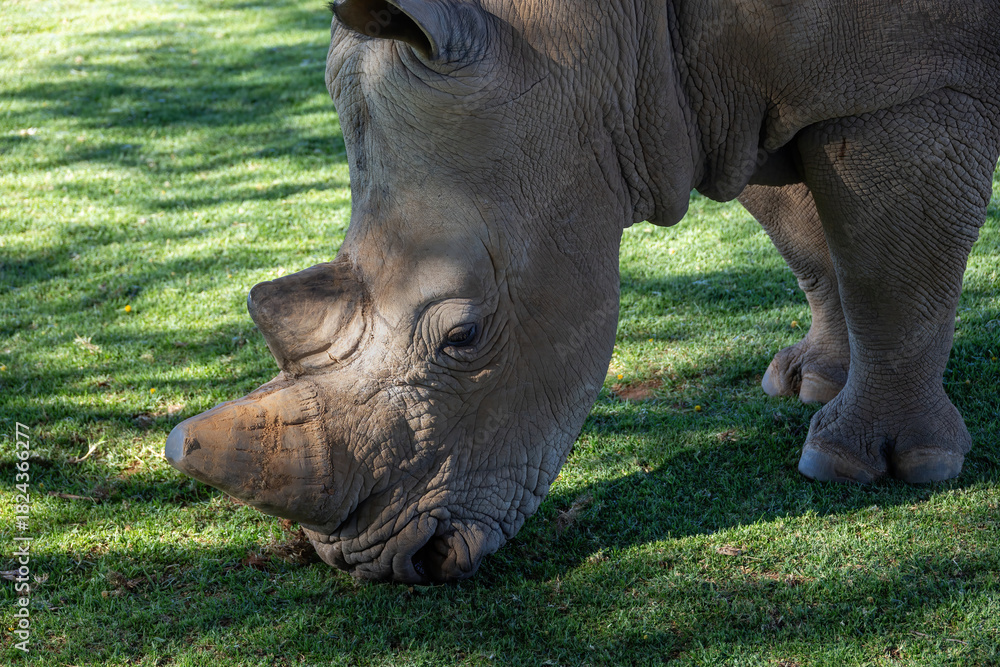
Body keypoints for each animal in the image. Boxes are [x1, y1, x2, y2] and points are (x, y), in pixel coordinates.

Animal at [165, 0, 1000, 583]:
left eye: (464, 335)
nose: (382, 562)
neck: (600, 34)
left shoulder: (903, 83)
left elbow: (886, 273)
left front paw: (868, 465)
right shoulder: (729, 96)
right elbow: (808, 240)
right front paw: (808, 382)